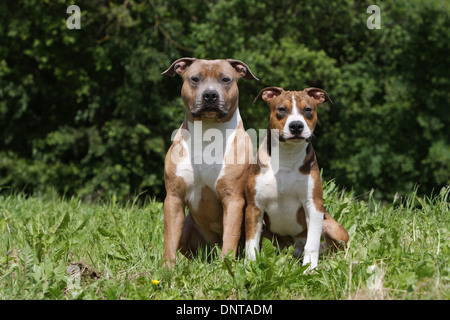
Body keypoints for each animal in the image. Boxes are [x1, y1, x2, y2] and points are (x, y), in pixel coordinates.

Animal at [162, 57, 260, 264]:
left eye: (225, 79)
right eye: (195, 79)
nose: (210, 95)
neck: (207, 134)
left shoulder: (233, 198)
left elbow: (230, 237)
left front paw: (225, 266)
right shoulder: (174, 197)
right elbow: (169, 240)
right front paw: (167, 268)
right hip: (187, 228)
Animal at [246, 87, 348, 270]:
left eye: (308, 109)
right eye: (281, 109)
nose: (296, 126)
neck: (287, 156)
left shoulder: (313, 205)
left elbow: (312, 243)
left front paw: (310, 269)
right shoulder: (254, 207)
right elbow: (251, 243)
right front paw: (249, 266)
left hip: (333, 227)